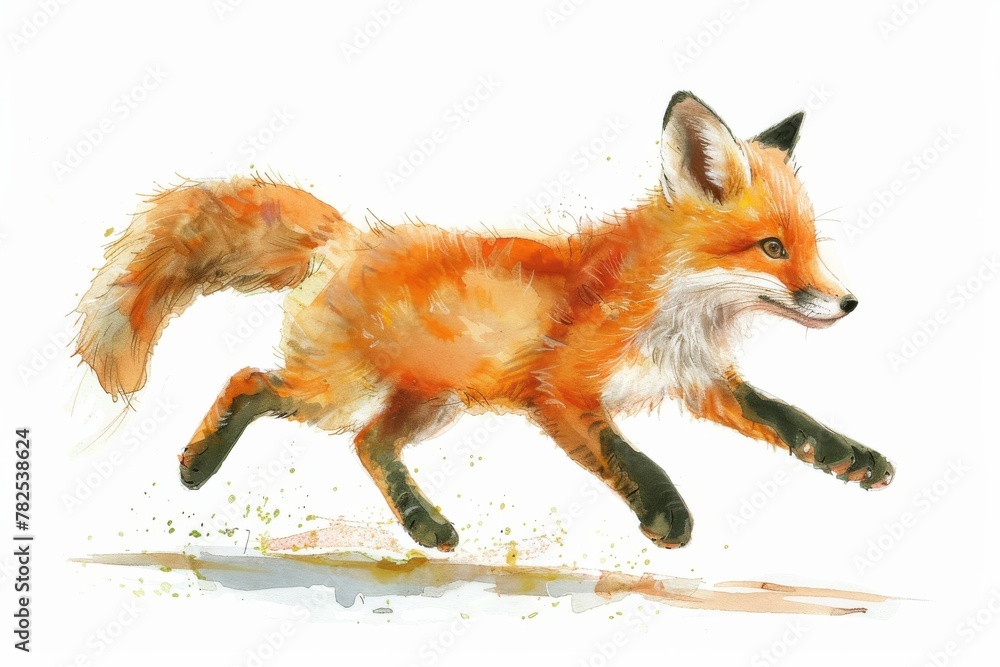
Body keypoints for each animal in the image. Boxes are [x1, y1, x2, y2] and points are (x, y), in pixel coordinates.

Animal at [75, 91, 894, 551]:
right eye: (773, 248)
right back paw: (196, 465)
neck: (675, 310)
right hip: (339, 390)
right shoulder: (559, 390)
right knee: (251, 379)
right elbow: (632, 458)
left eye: (811, 246)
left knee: (371, 446)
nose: (850, 303)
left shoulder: (701, 382)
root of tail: (343, 237)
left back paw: (424, 525)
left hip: (429, 403)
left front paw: (854, 459)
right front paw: (666, 516)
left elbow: (790, 419)